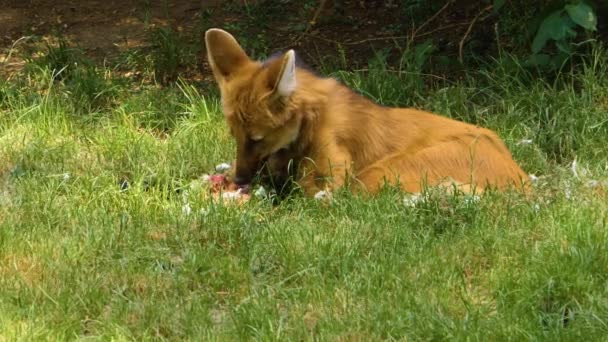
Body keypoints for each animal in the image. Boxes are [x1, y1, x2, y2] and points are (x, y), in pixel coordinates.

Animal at [203, 28, 528, 196]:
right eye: (235, 136)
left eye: (257, 139)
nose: (241, 179)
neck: (308, 123)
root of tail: (522, 178)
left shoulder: (330, 171)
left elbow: (314, 194)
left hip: (381, 173)